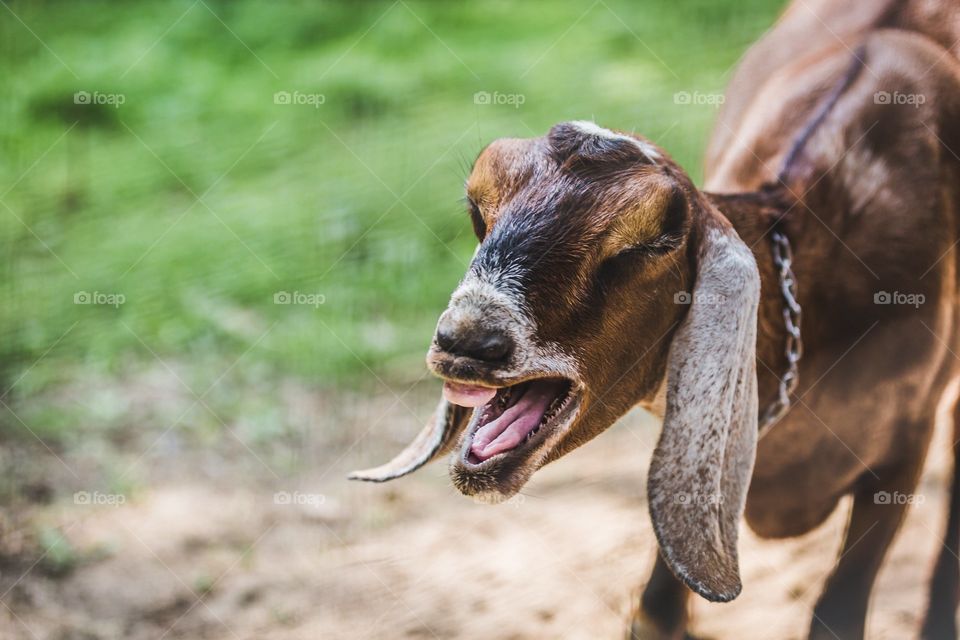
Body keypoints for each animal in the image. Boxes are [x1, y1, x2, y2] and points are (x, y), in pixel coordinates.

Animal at [351, 1, 960, 637]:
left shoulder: (906, 446)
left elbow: (838, 610)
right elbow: (657, 608)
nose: (465, 341)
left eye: (650, 243)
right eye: (477, 211)